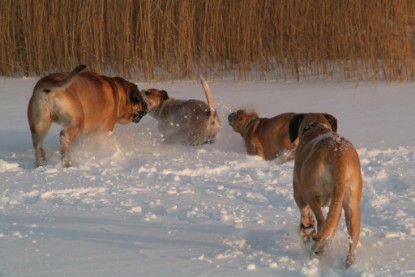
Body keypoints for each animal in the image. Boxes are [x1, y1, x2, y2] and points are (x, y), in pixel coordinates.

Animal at [290, 112, 364, 266]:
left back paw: (315, 245)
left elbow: (305, 213)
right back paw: (348, 262)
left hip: (311, 194)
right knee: (344, 231)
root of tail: (337, 154)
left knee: (322, 223)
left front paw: (306, 231)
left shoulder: (300, 193)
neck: (316, 127)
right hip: (351, 205)